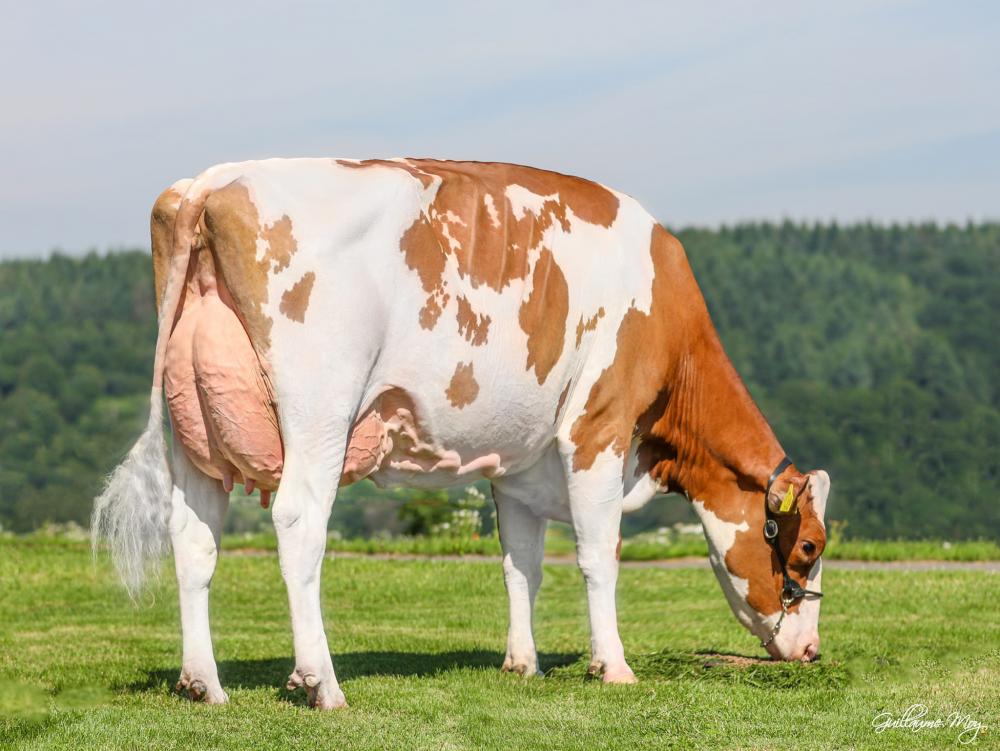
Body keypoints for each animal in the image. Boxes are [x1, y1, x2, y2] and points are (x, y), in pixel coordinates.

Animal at [94, 159, 828, 712]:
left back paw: (204, 683)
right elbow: (599, 555)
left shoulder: (521, 465)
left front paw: (523, 663)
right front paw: (612, 666)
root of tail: (211, 182)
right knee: (299, 523)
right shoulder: (598, 427)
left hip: (196, 435)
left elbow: (521, 563)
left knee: (192, 538)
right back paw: (321, 683)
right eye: (809, 547)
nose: (813, 650)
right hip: (321, 411)